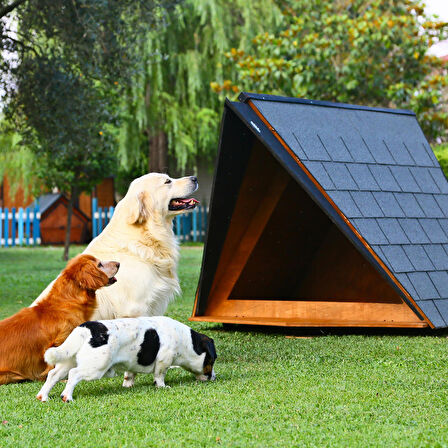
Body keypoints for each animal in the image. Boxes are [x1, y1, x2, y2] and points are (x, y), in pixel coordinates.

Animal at [36, 316, 217, 402]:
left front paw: (128, 385)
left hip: (67, 360)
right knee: (74, 375)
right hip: (95, 368)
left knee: (53, 375)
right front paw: (162, 386)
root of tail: (87, 329)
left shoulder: (132, 364)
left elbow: (129, 375)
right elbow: (159, 376)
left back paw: (43, 397)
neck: (186, 341)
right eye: (211, 360)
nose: (214, 377)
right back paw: (67, 397)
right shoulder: (163, 362)